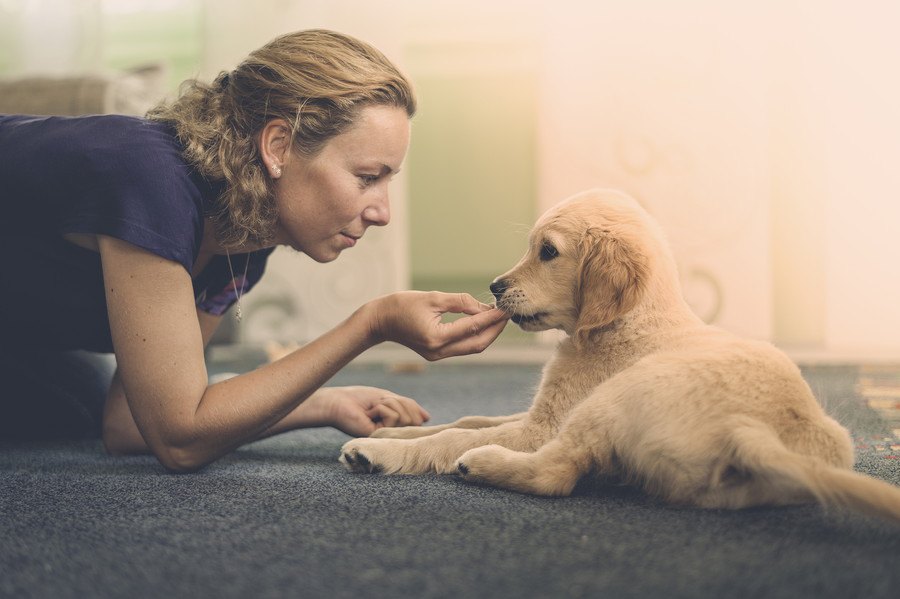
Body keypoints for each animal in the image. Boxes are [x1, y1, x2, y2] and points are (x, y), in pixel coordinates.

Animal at [342, 189, 900, 524]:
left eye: (548, 251)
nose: (495, 286)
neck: (617, 325)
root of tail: (752, 428)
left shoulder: (543, 427)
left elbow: (456, 436)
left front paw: (380, 451)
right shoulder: (545, 412)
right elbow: (468, 418)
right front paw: (393, 432)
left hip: (613, 398)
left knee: (555, 474)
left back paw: (481, 463)